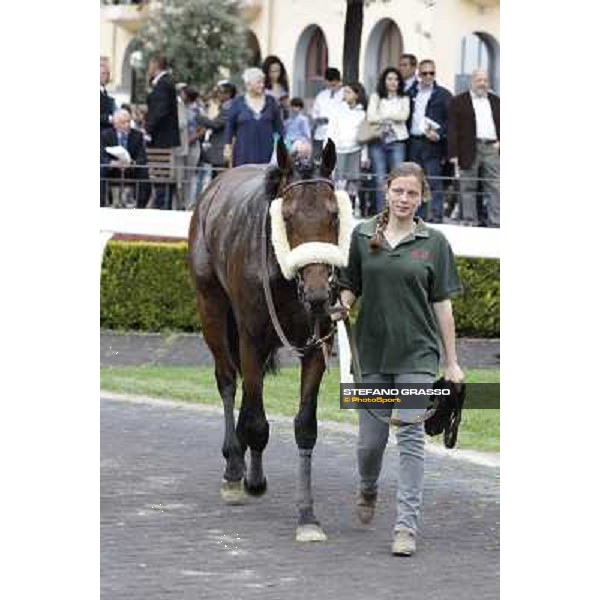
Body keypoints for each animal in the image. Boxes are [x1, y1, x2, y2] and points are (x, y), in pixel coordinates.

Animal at [190, 141, 354, 544]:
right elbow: (258, 421)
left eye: (334, 215)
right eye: (288, 217)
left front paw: (308, 516)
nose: (317, 293)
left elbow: (305, 425)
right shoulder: (251, 338)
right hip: (211, 306)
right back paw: (234, 464)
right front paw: (249, 478)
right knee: (228, 381)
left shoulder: (317, 344)